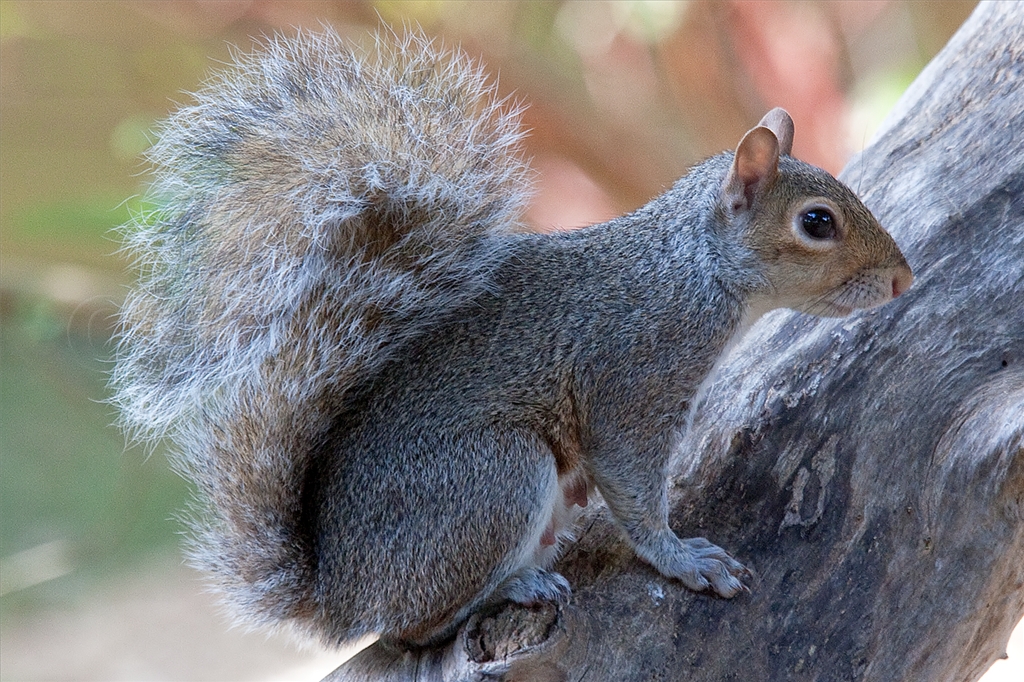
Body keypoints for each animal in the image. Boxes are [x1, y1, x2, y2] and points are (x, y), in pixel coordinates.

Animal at [112, 29, 913, 650]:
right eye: (817, 222)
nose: (904, 280)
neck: (695, 272)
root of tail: (338, 594)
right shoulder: (632, 381)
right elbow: (633, 487)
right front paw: (683, 559)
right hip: (495, 473)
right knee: (413, 628)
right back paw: (513, 586)